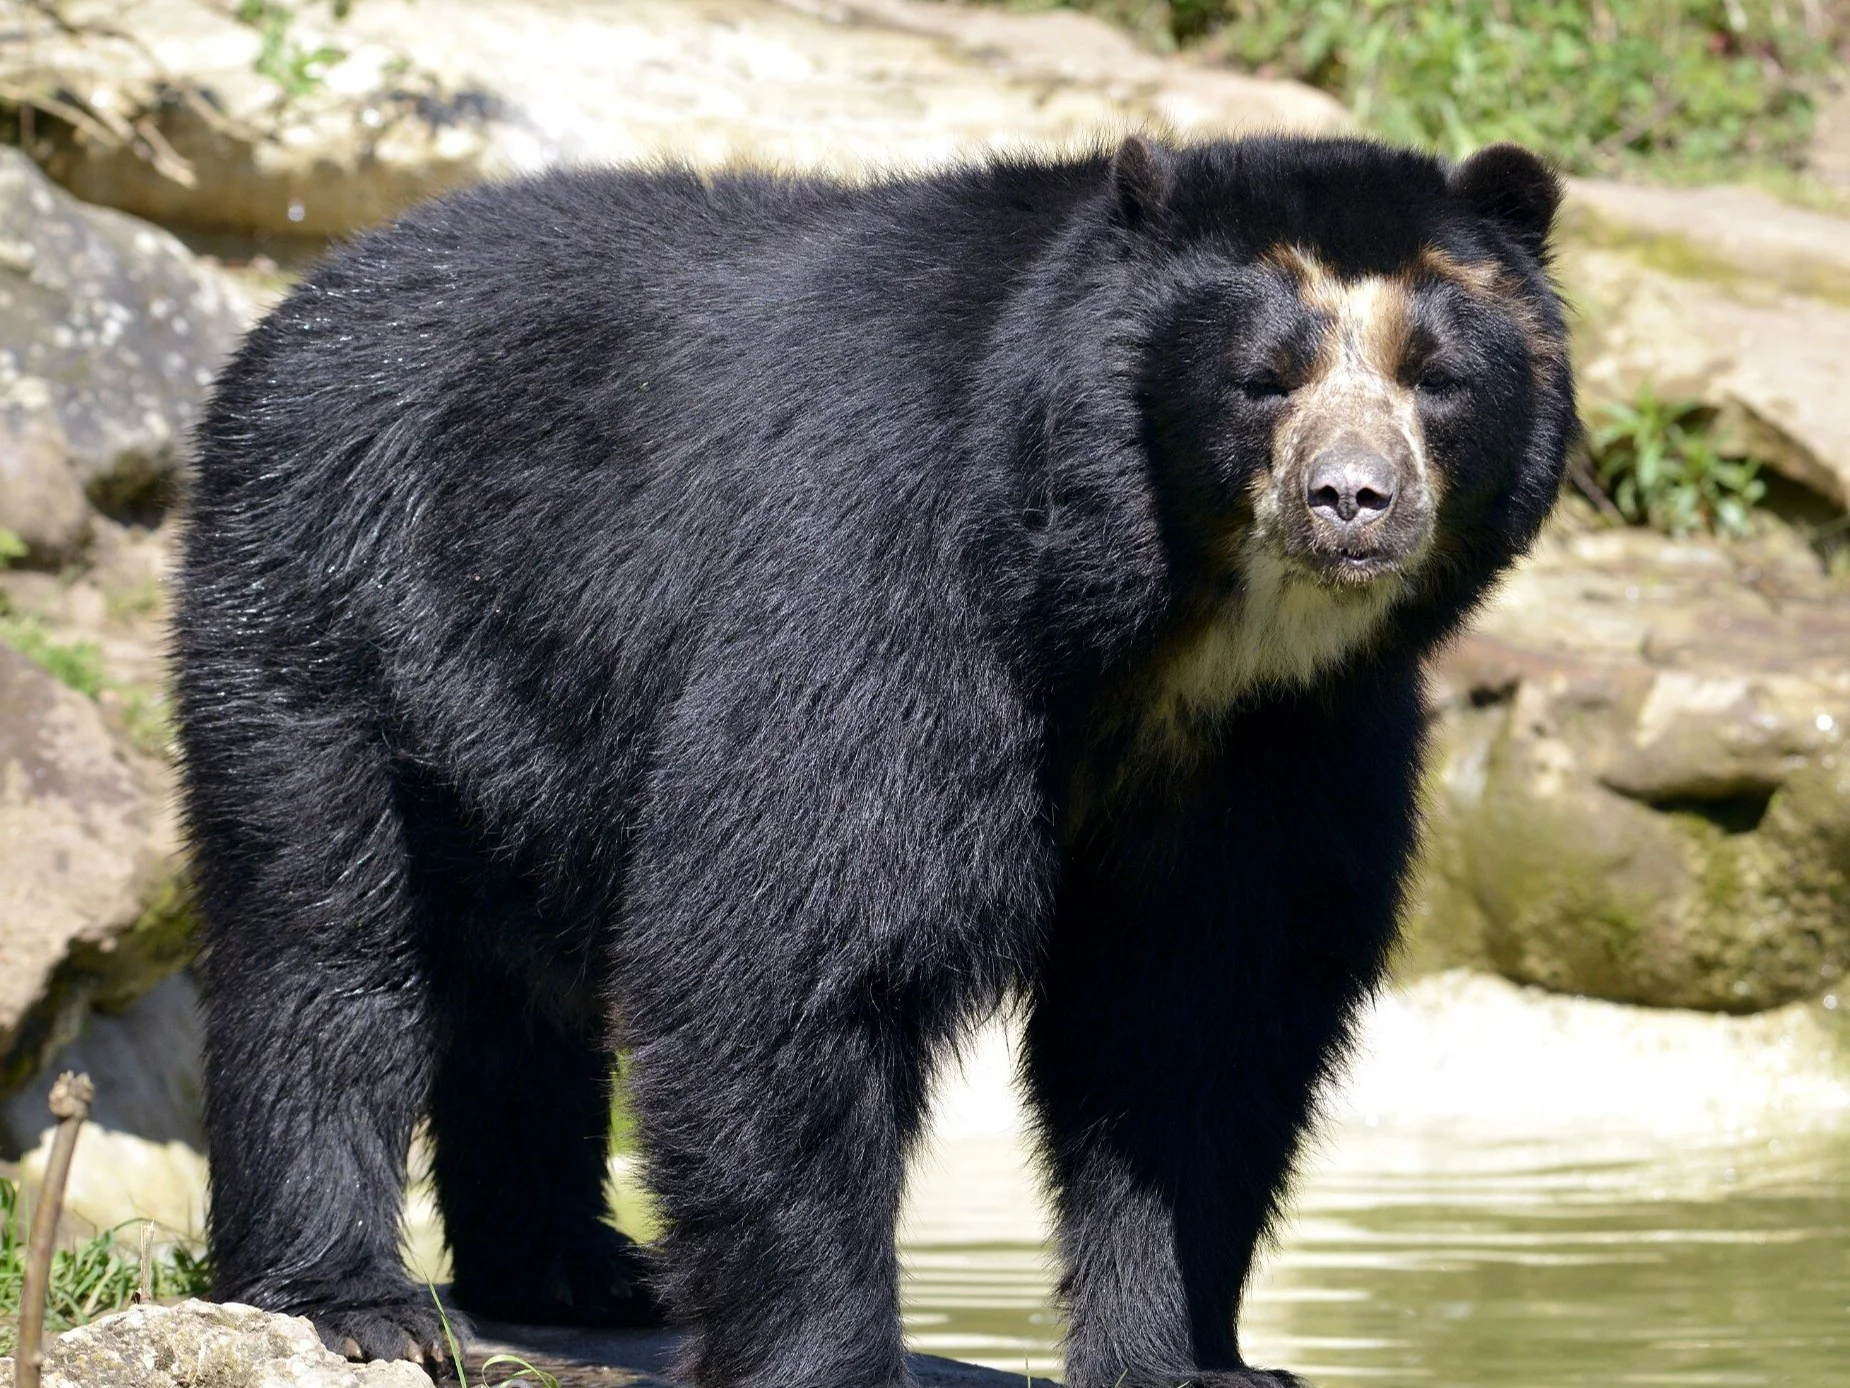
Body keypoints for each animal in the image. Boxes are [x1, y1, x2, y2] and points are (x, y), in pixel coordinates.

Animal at [176, 133, 1576, 1388]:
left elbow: (1201, 1010)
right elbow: (789, 947)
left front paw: (1189, 1358)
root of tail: (303, 301)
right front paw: (828, 1352)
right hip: (329, 597)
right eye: (1261, 380)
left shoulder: (1288, 735)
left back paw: (577, 1269)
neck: (1170, 628)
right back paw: (359, 1298)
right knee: (323, 934)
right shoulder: (888, 579)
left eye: (1435, 377)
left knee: (520, 974)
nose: (1352, 501)